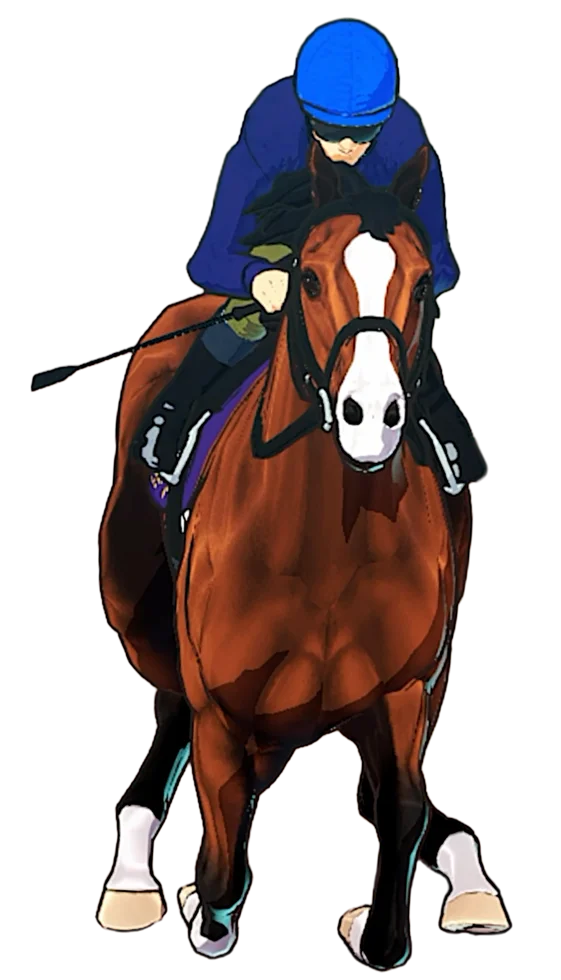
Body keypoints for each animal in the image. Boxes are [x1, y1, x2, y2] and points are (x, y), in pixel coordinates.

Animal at [95, 143, 509, 970]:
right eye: (311, 277)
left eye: (423, 280)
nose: (370, 416)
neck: (326, 545)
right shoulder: (221, 703)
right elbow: (222, 870)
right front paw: (198, 903)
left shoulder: (406, 689)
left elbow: (399, 807)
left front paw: (372, 925)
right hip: (140, 615)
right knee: (168, 720)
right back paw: (130, 884)